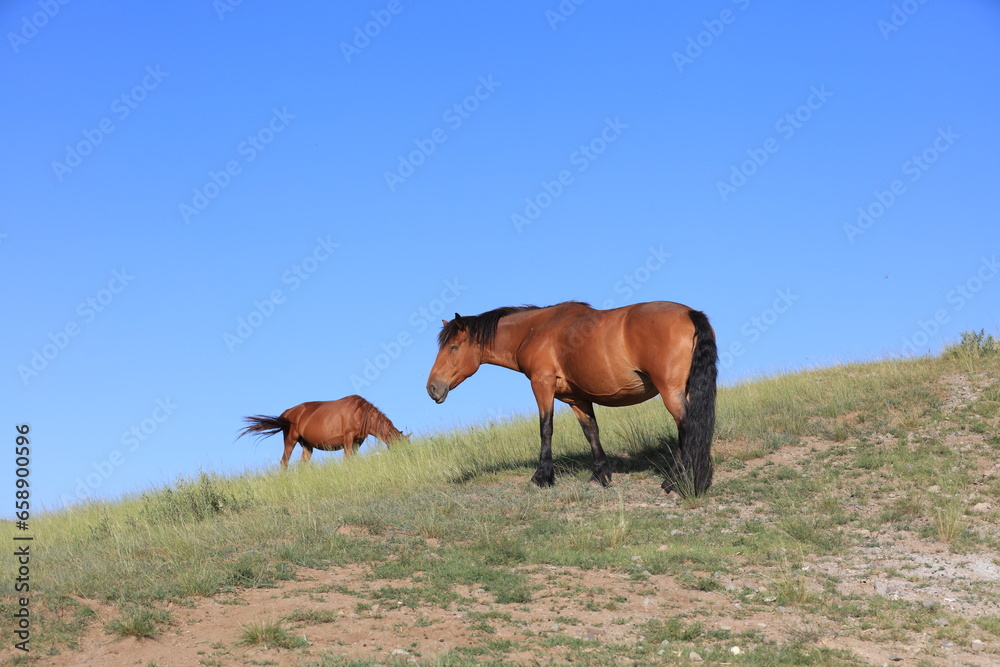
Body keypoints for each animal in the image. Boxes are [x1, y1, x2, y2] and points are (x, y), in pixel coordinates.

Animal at [238, 395, 407, 467]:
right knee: (284, 462)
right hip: (290, 440)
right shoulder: (348, 438)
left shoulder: (358, 442)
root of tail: (287, 413)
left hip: (307, 446)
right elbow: (347, 458)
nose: (404, 459)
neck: (361, 413)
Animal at [426, 301, 717, 494]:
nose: (432, 388)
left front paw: (542, 477)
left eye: (454, 347)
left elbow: (546, 428)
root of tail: (690, 313)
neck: (536, 329)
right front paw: (600, 475)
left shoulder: (542, 385)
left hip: (671, 392)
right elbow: (591, 431)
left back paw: (674, 481)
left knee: (687, 428)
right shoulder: (578, 398)